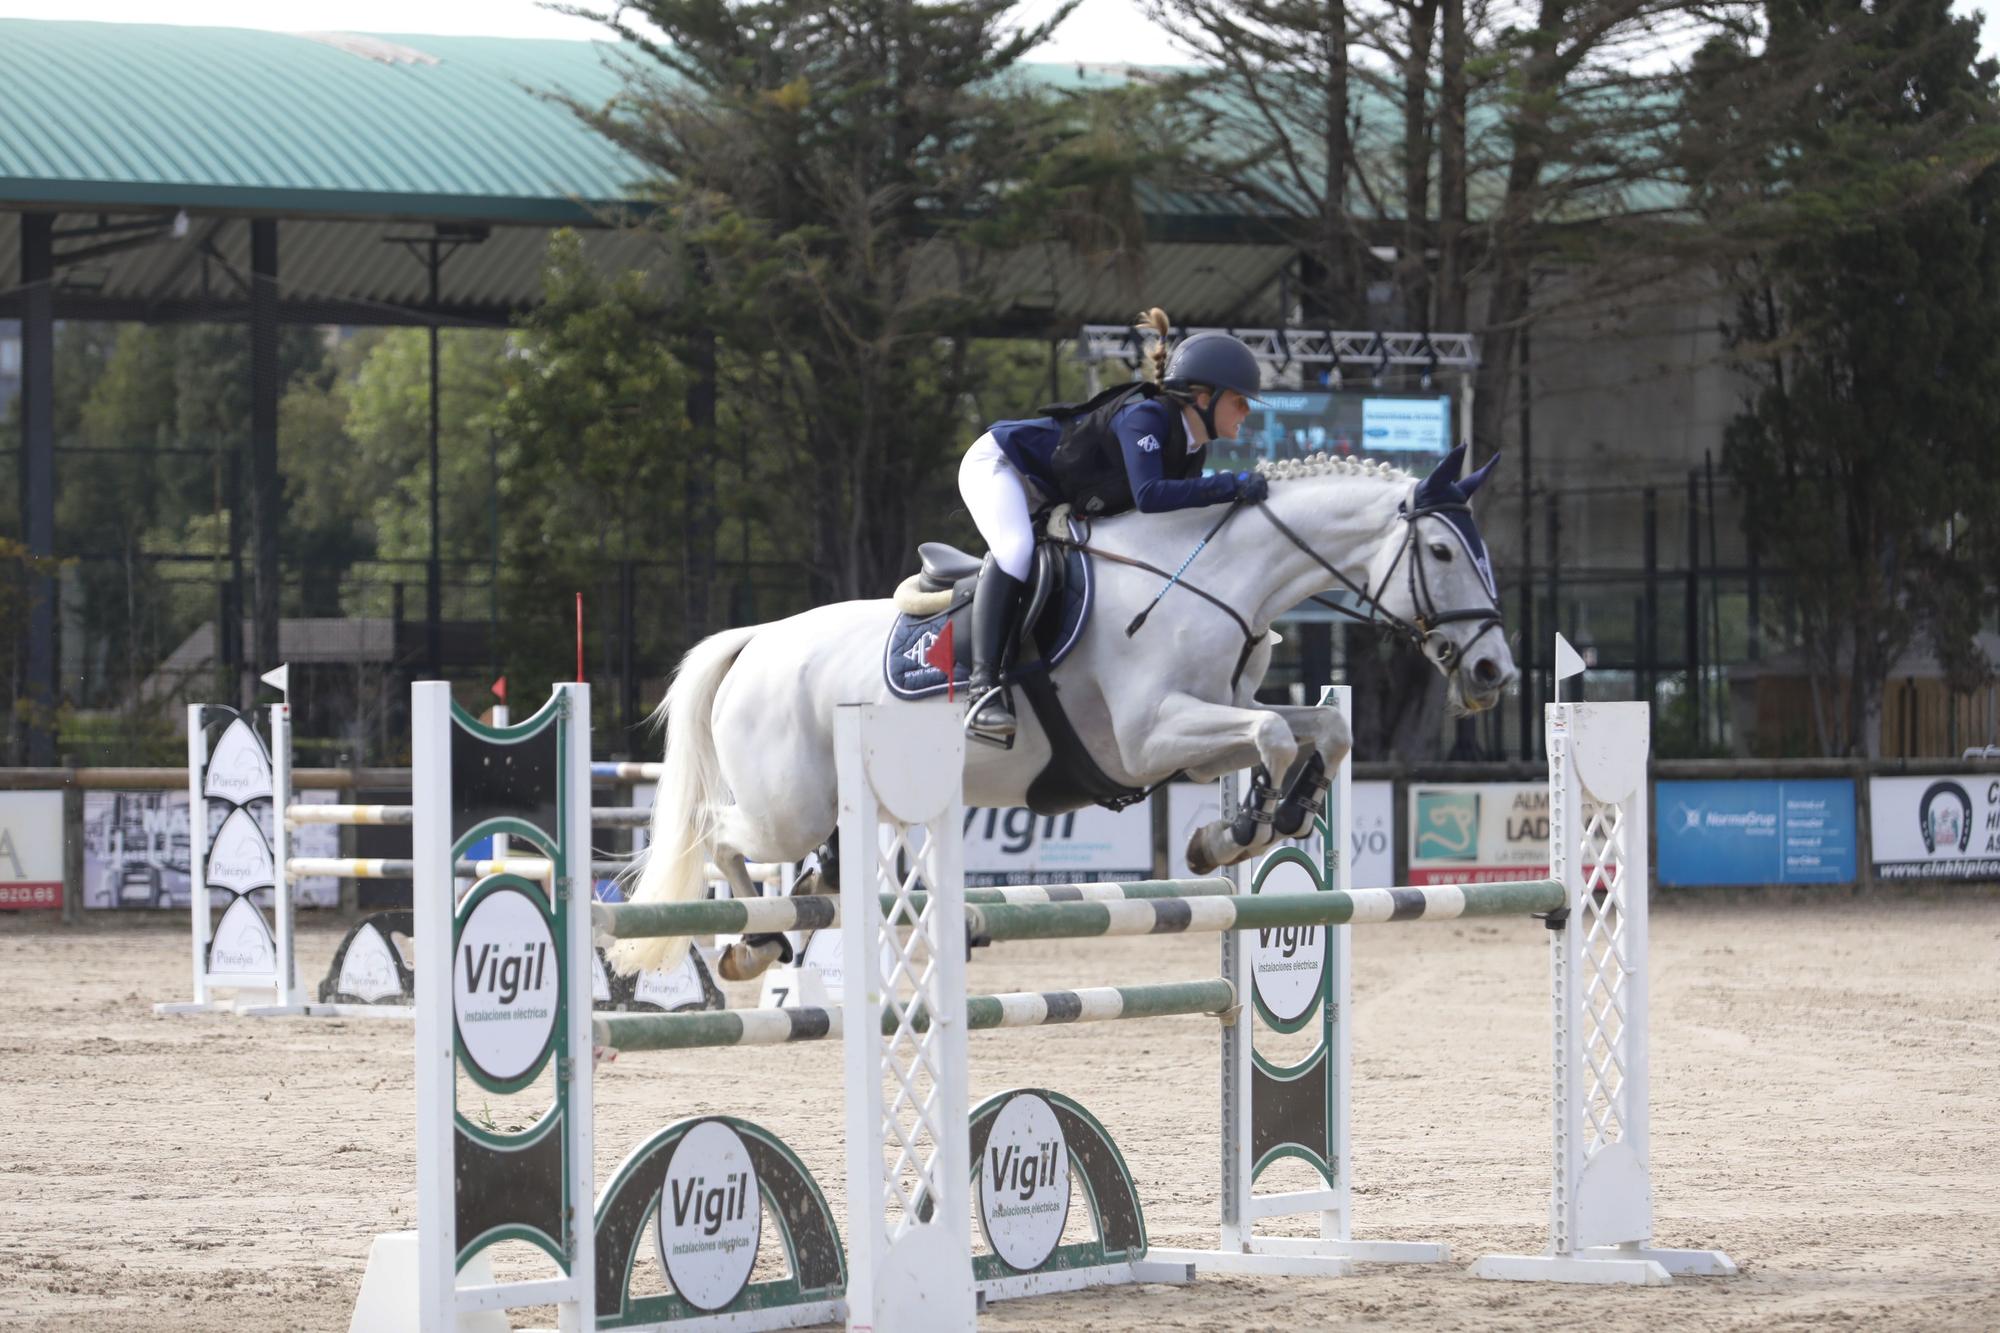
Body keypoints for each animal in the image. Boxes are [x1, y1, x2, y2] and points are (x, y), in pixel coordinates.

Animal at [616, 440, 1504, 972]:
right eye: (1440, 550)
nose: (1494, 668)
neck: (1214, 579)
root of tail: (755, 640)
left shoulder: (1195, 738)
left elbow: (1319, 726)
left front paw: (1253, 822)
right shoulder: (1151, 737)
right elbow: (1276, 729)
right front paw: (1251, 825)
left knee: (794, 862)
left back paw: (792, 912)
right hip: (786, 805)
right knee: (717, 835)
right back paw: (756, 938)